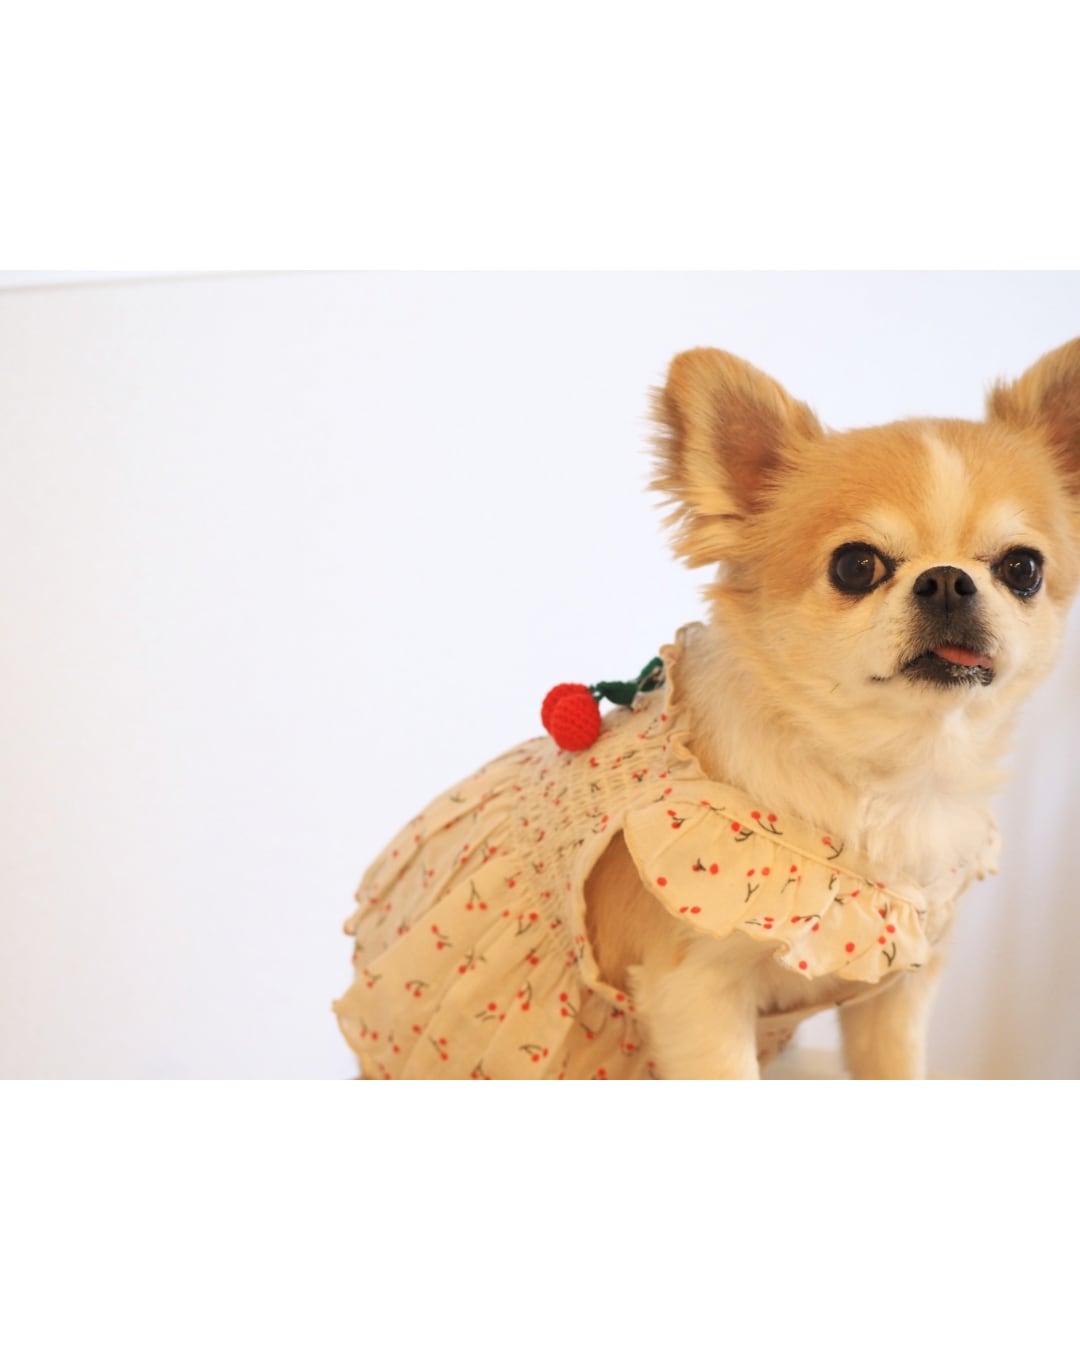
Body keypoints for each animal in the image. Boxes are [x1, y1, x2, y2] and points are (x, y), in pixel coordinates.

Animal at [334, 340, 1080, 1078]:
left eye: (1022, 569)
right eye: (855, 566)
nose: (947, 580)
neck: (886, 771)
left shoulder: (896, 991)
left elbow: (897, 1068)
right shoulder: (695, 992)